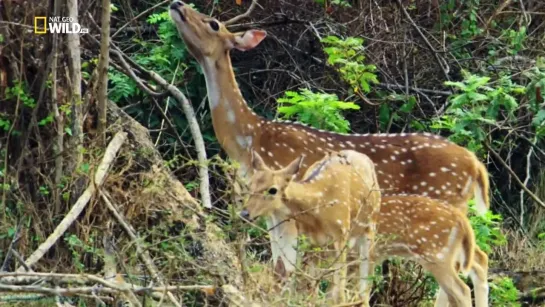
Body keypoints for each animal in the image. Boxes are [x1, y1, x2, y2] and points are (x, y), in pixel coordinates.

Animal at [169, 0, 488, 280]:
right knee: (478, 259)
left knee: (472, 261)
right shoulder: (269, 208)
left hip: (443, 203)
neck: (250, 139)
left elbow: (286, 268)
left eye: (213, 23)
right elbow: (279, 266)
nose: (177, 4)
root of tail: (476, 166)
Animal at [241, 152, 488, 307]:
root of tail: (461, 221)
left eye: (272, 189)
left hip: (430, 253)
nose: (245, 213)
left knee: (462, 286)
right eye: (249, 185)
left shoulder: (340, 239)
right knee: (477, 262)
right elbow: (293, 277)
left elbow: (335, 291)